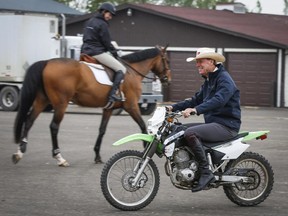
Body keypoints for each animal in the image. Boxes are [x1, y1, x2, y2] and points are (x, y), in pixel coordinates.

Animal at [12, 45, 171, 166]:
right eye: (167, 60)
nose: (168, 80)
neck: (131, 72)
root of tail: (47, 62)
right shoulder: (131, 106)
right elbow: (143, 126)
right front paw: (146, 148)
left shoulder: (108, 109)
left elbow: (102, 130)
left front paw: (97, 156)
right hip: (61, 104)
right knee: (53, 127)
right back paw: (59, 157)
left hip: (42, 100)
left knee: (29, 121)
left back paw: (19, 152)